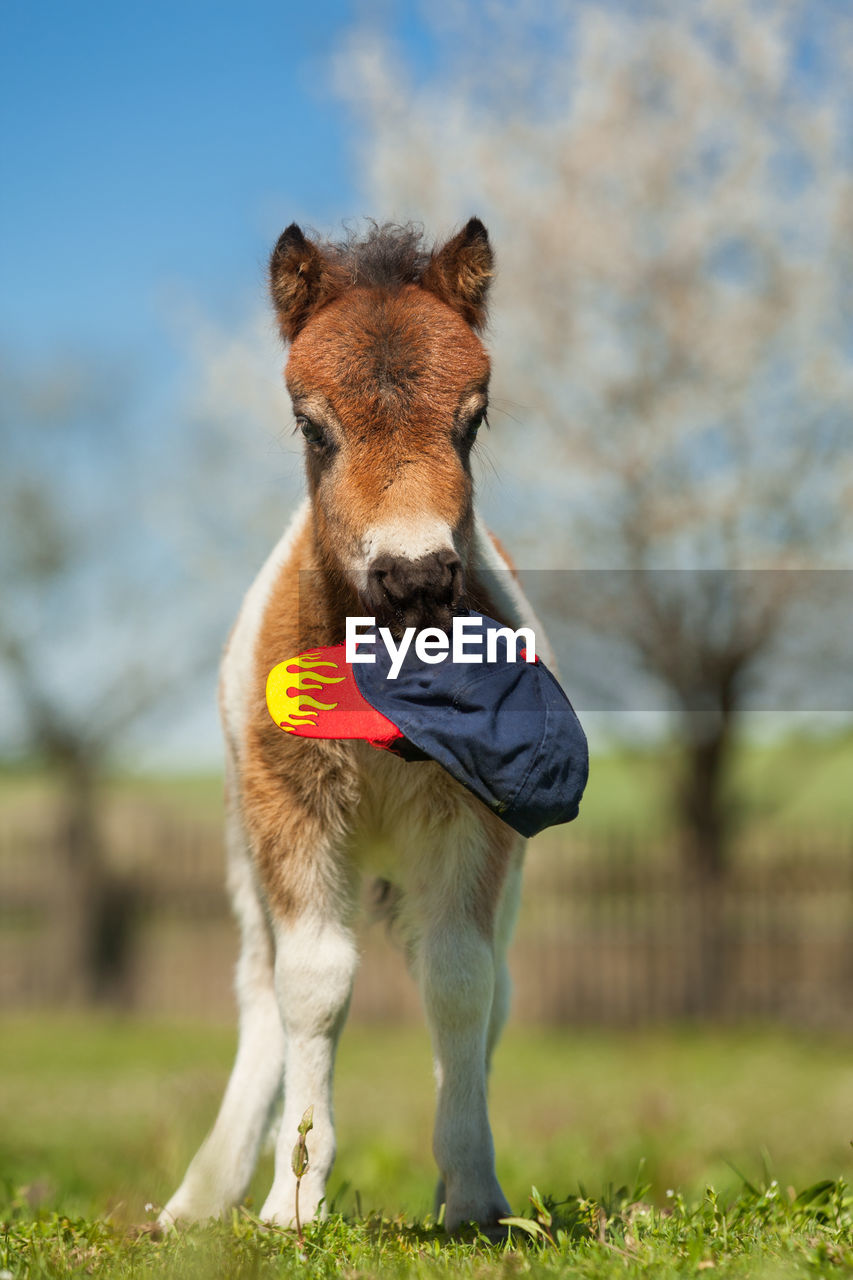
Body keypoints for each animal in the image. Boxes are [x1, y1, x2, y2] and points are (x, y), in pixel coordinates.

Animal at [162, 222, 548, 1239]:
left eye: (472, 419)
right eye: (311, 425)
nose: (414, 578)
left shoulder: (476, 822)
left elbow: (460, 981)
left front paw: (474, 1196)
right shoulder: (287, 807)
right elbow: (313, 983)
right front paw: (292, 1202)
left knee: (489, 988)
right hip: (244, 844)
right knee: (260, 987)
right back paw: (200, 1197)